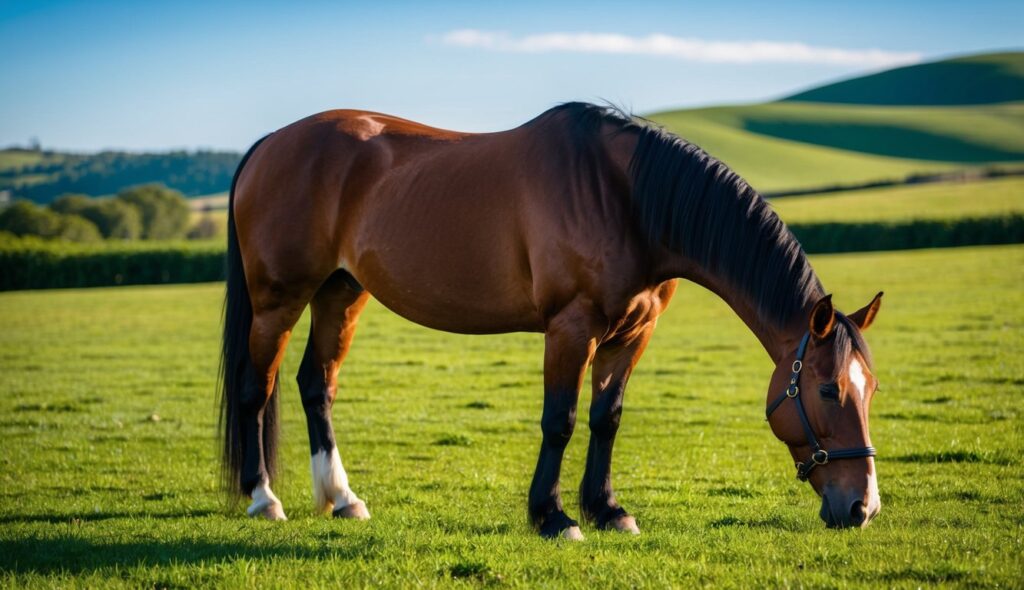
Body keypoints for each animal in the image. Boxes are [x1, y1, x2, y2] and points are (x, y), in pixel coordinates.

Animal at [220, 102, 884, 540]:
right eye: (828, 389)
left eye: (871, 388)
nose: (863, 508)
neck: (628, 197)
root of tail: (270, 143)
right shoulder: (572, 327)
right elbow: (559, 421)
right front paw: (553, 516)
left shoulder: (630, 336)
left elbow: (605, 419)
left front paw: (607, 509)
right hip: (278, 299)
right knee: (257, 387)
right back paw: (263, 498)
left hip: (341, 293)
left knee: (316, 386)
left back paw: (341, 498)